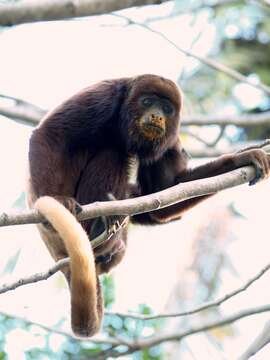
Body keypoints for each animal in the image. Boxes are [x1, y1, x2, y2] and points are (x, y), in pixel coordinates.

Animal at [26, 74, 270, 338]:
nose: (157, 116)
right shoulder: (102, 97)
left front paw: (241, 158)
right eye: (147, 101)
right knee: (112, 151)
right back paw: (98, 226)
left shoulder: (170, 137)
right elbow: (50, 134)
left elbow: (166, 193)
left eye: (167, 108)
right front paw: (55, 200)